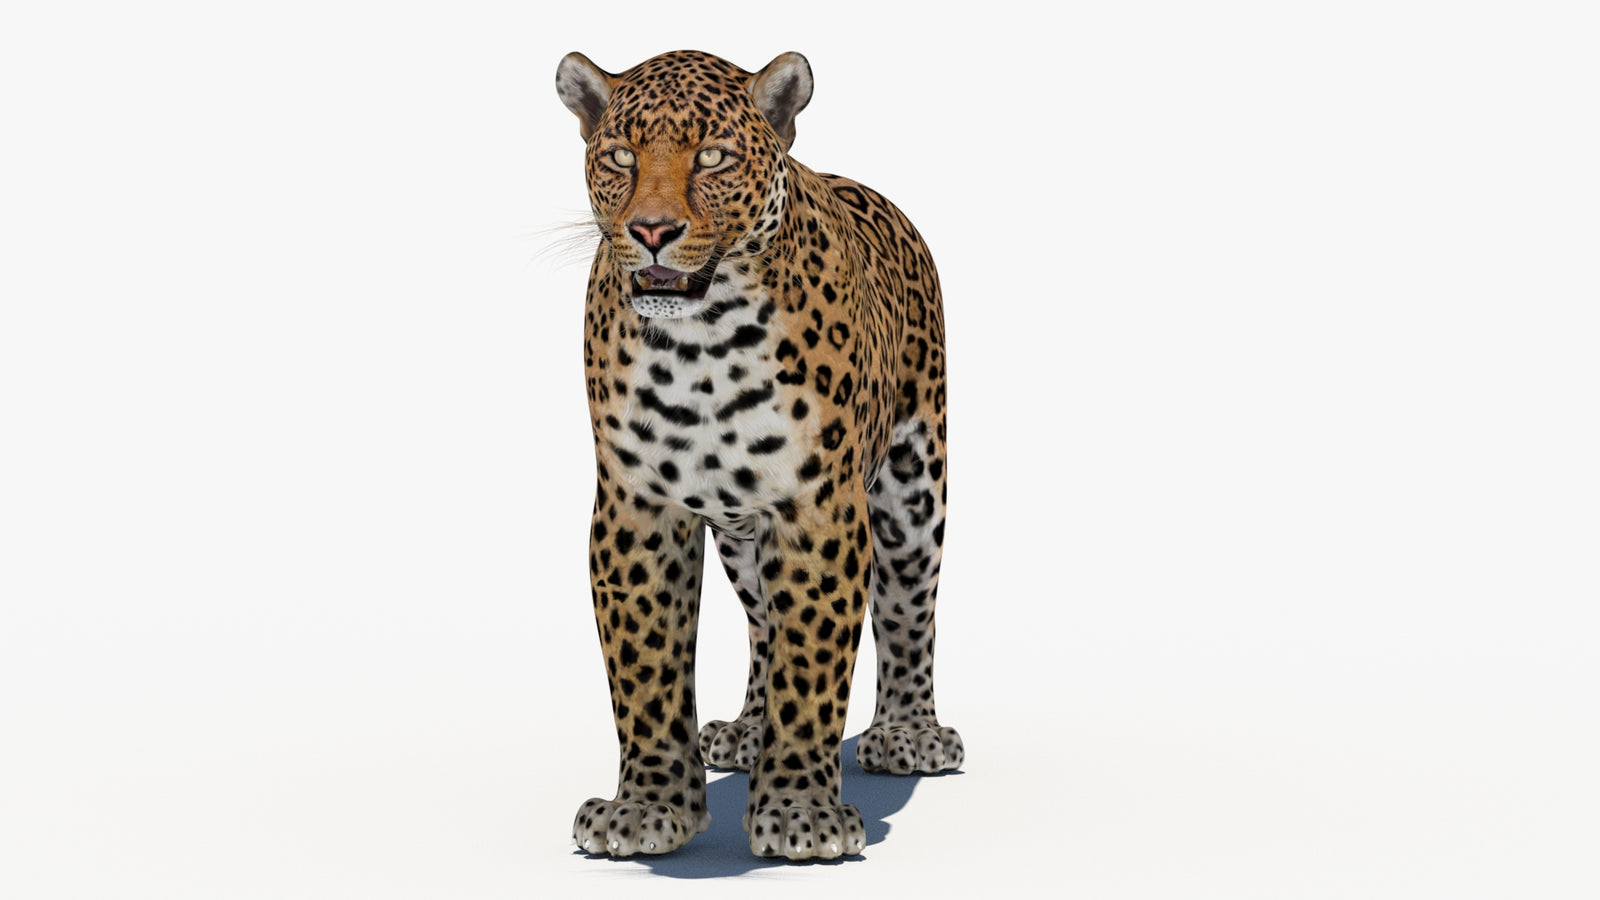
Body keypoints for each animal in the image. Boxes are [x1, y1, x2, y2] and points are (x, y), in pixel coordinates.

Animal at [555, 49, 962, 862]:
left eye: (712, 157)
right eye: (621, 157)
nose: (651, 229)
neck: (702, 347)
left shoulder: (820, 508)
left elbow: (814, 661)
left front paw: (801, 811)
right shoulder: (636, 507)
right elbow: (646, 666)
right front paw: (647, 808)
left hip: (914, 486)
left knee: (909, 606)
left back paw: (908, 733)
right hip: (743, 534)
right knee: (762, 623)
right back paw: (747, 730)